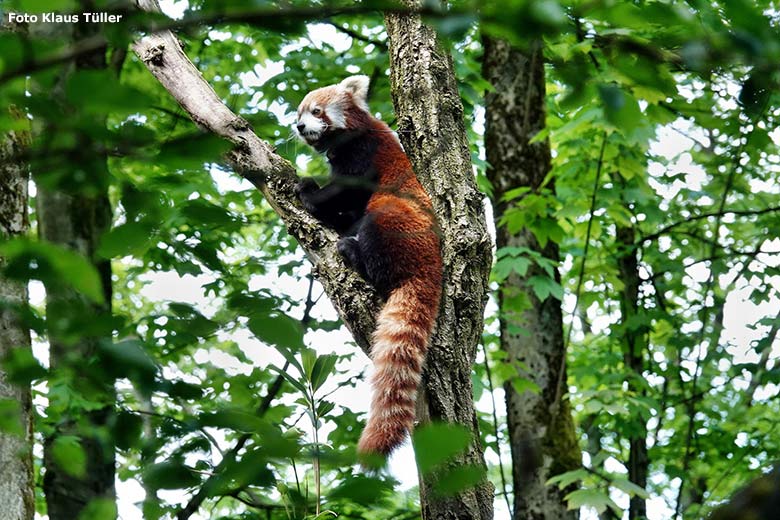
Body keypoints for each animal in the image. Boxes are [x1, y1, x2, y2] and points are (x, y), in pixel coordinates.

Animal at [292, 75, 442, 458]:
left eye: (317, 111)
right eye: (299, 113)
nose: (299, 126)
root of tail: (431, 267)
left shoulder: (366, 154)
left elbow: (347, 188)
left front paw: (308, 190)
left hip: (395, 218)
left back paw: (353, 251)